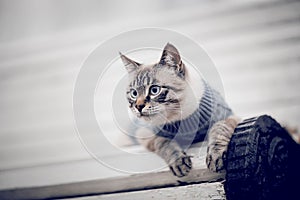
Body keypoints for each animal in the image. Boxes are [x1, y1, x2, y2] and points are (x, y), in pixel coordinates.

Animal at [120, 43, 240, 177]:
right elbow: (164, 142)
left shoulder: (228, 116)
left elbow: (219, 130)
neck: (180, 116)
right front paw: (179, 162)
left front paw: (215, 157)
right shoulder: (146, 133)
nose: (138, 106)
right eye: (134, 93)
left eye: (154, 90)